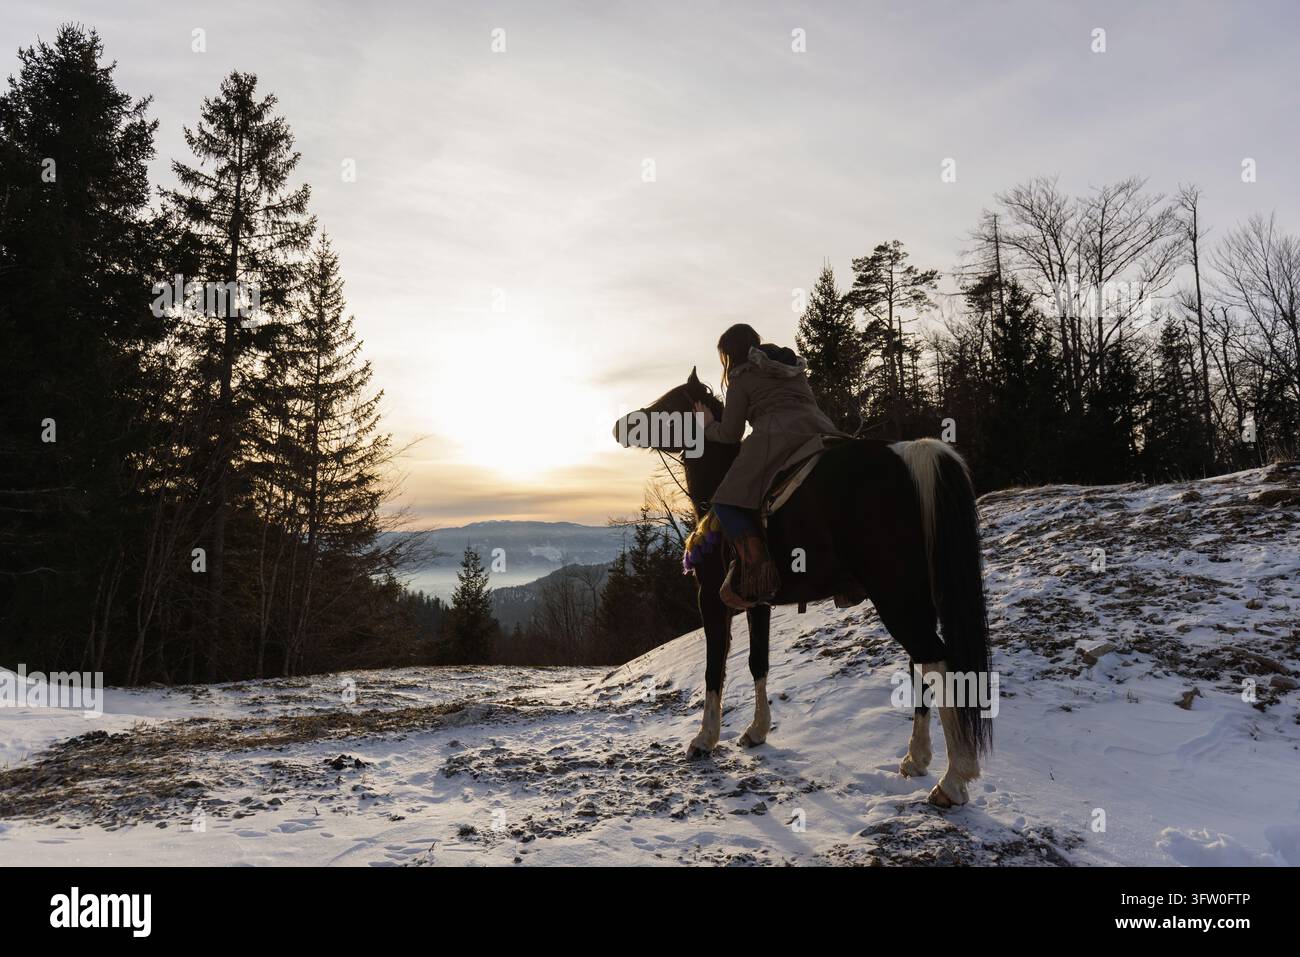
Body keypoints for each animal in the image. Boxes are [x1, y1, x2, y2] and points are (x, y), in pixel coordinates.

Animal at [612, 367, 992, 807]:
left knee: (937, 661)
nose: (620, 426)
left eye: (669, 403)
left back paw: (953, 780)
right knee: (923, 663)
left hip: (895, 596)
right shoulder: (758, 602)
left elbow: (714, 669)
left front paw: (705, 739)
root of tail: (912, 455)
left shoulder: (711, 600)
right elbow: (757, 662)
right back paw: (917, 758)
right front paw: (756, 731)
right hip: (913, 597)